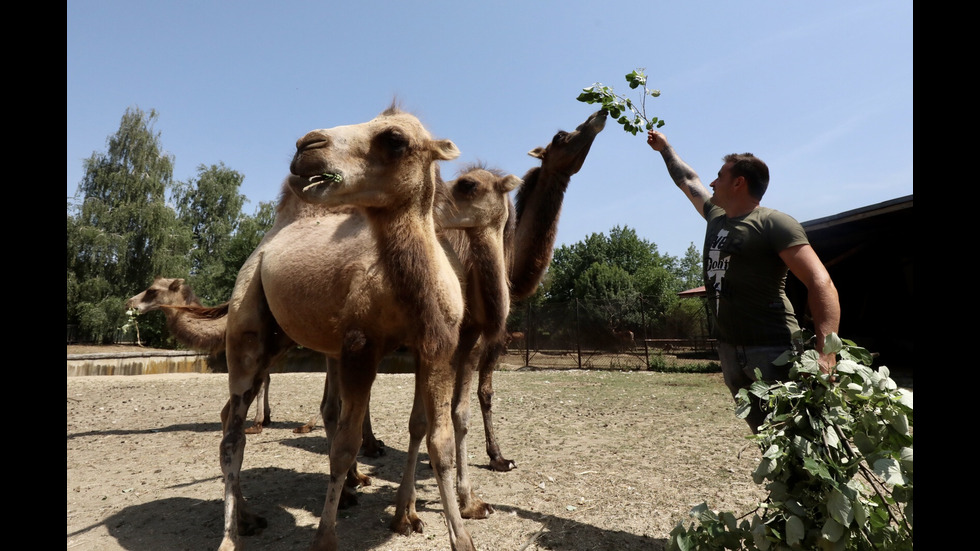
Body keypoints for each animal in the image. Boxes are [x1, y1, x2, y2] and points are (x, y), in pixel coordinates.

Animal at [216, 109, 476, 551]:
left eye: (394, 138)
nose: (307, 146)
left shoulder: (437, 348)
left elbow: (438, 443)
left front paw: (460, 537)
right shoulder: (360, 346)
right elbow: (344, 445)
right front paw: (325, 537)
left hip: (281, 339)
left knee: (227, 420)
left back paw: (248, 516)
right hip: (247, 320)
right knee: (235, 433)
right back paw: (232, 534)